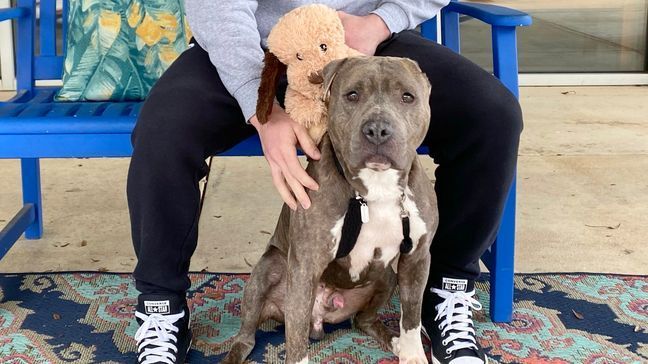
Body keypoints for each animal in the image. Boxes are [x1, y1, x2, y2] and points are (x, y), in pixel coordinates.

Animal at [224, 56, 440, 364]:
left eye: (407, 97)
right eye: (352, 95)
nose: (377, 129)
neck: (376, 188)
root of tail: (321, 317)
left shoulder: (417, 257)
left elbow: (411, 316)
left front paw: (413, 354)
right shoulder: (305, 266)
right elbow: (296, 341)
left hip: (387, 276)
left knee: (363, 320)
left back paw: (392, 341)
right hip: (268, 272)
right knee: (247, 337)